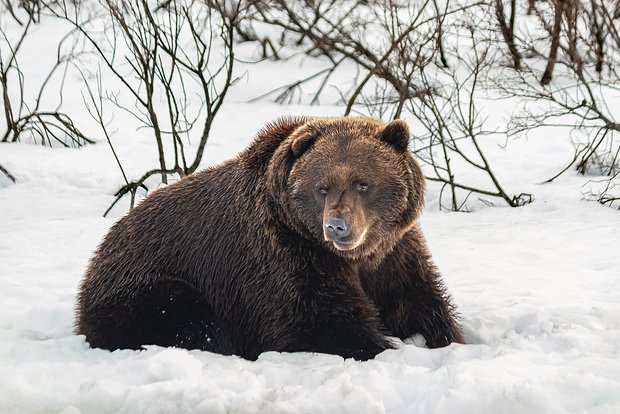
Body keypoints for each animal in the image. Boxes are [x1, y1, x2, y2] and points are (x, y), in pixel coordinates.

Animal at [75, 115, 462, 360]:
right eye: (322, 187)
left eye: (362, 183)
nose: (337, 226)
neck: (354, 257)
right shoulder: (286, 257)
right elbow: (317, 322)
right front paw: (380, 346)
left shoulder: (394, 253)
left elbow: (421, 301)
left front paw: (447, 340)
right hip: (149, 286)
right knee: (189, 318)